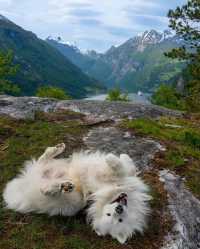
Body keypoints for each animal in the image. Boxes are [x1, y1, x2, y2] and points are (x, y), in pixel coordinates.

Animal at [3, 144, 151, 243]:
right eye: (109, 214)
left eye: (120, 220)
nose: (119, 209)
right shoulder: (114, 176)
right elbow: (126, 167)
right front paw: (119, 157)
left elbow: (123, 169)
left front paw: (115, 159)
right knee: (42, 160)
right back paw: (56, 151)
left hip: (68, 203)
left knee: (47, 189)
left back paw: (60, 186)